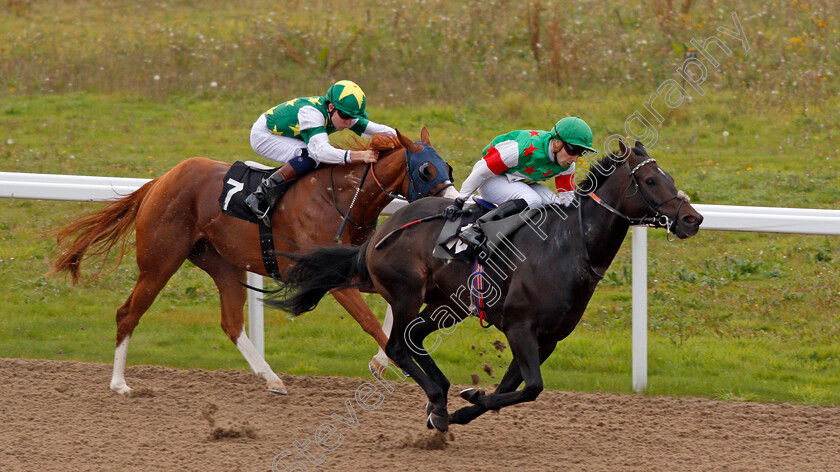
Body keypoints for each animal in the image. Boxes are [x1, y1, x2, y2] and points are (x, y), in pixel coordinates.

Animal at [49, 129, 456, 394]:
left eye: (449, 167)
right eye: (426, 170)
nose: (455, 204)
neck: (342, 199)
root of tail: (160, 181)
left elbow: (388, 312)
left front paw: (381, 362)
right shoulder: (329, 277)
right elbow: (371, 321)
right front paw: (397, 363)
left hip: (223, 263)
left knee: (231, 323)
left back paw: (271, 378)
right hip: (160, 261)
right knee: (128, 313)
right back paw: (119, 383)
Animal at [268, 141, 704, 432]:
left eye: (669, 177)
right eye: (651, 179)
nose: (693, 219)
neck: (569, 246)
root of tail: (381, 231)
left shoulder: (548, 338)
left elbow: (517, 386)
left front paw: (467, 402)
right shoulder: (520, 326)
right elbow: (533, 387)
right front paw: (466, 401)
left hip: (448, 305)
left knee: (414, 338)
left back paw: (440, 398)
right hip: (407, 292)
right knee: (397, 346)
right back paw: (437, 399)